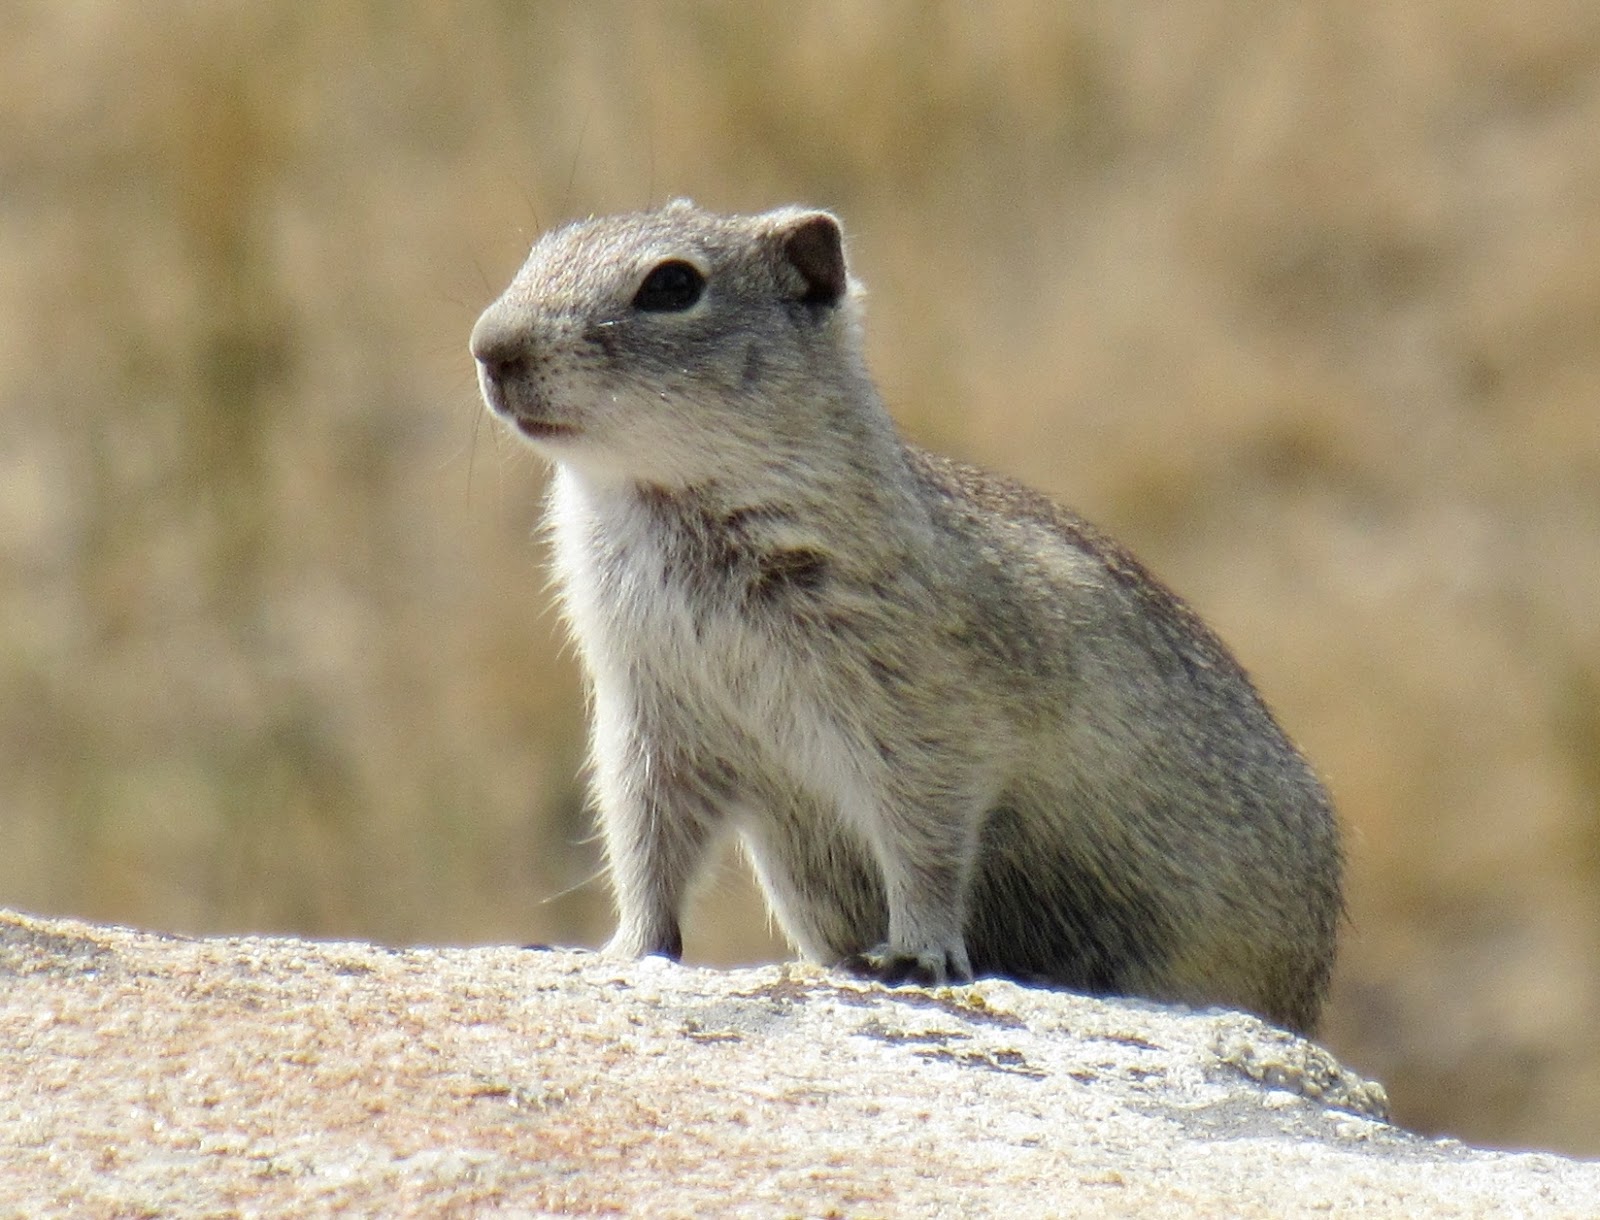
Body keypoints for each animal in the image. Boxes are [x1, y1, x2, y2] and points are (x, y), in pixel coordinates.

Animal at [469, 200, 1343, 1034]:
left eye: (672, 285)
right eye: (544, 247)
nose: (489, 347)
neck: (667, 508)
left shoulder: (925, 725)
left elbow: (925, 843)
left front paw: (918, 954)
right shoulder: (650, 719)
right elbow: (646, 845)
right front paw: (624, 949)